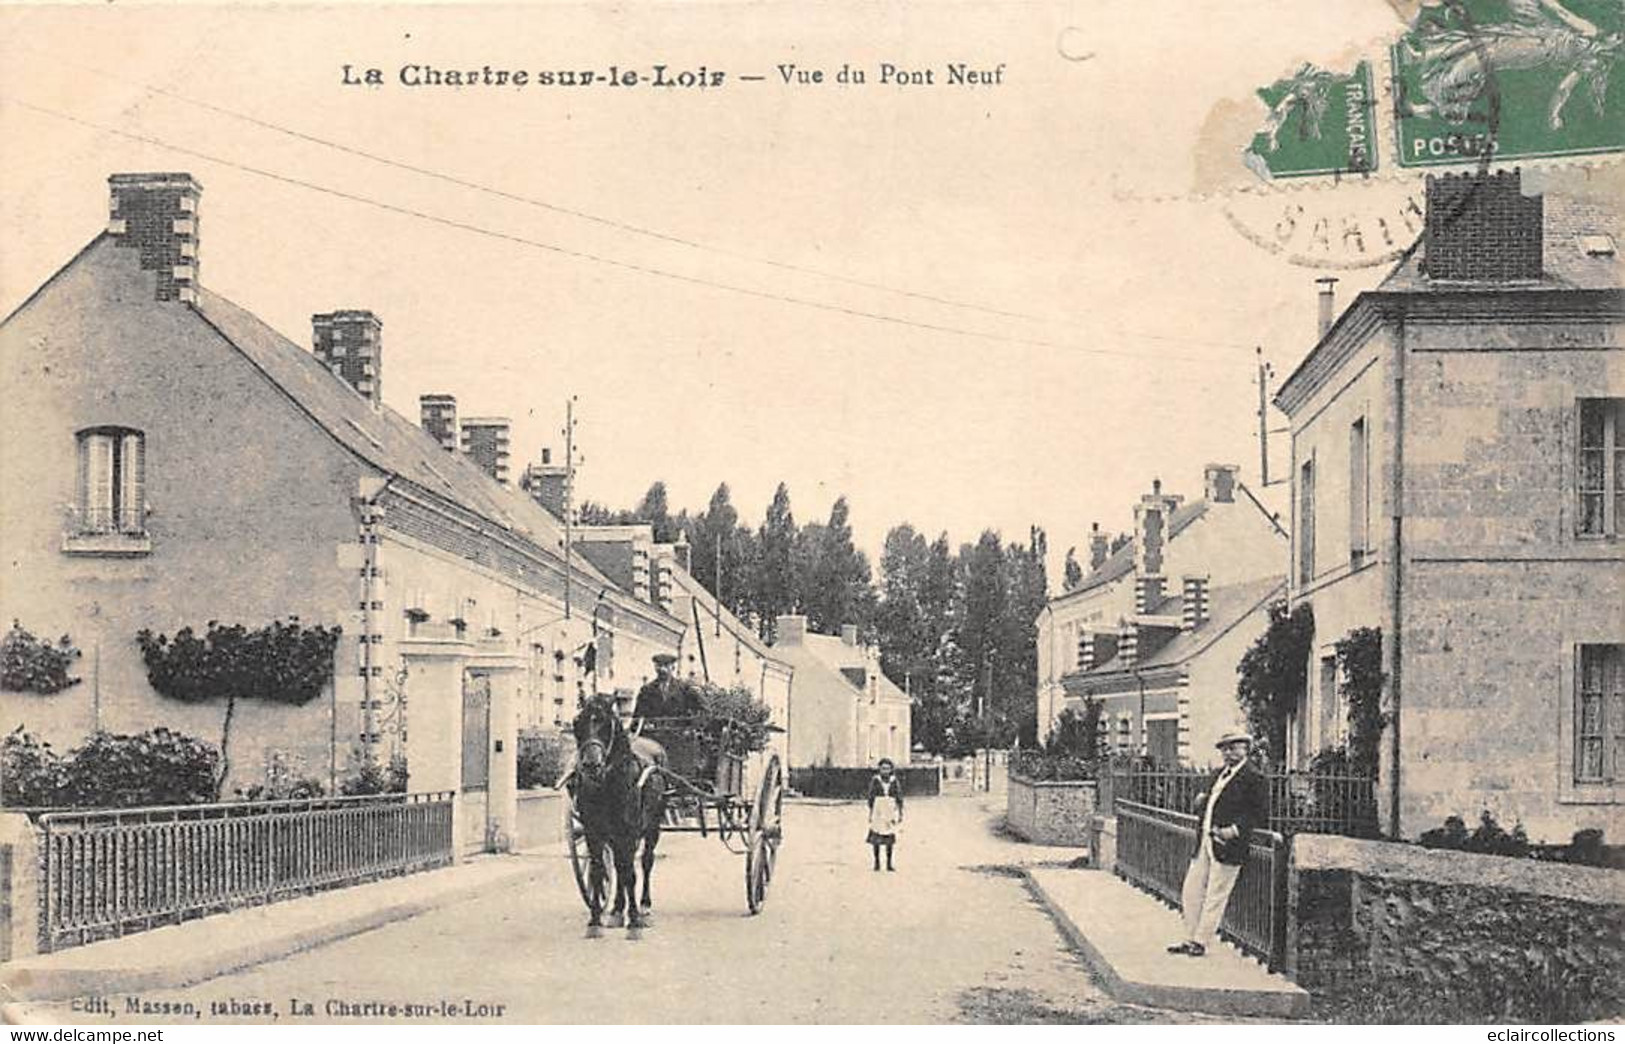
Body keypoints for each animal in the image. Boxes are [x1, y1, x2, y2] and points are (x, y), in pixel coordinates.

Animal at [568, 689, 663, 923]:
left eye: (605, 723)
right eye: (577, 722)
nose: (591, 765)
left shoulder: (628, 832)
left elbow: (630, 872)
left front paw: (635, 916)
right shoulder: (593, 832)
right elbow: (598, 870)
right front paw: (595, 915)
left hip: (653, 826)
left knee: (646, 861)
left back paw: (644, 903)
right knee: (619, 866)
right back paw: (618, 906)